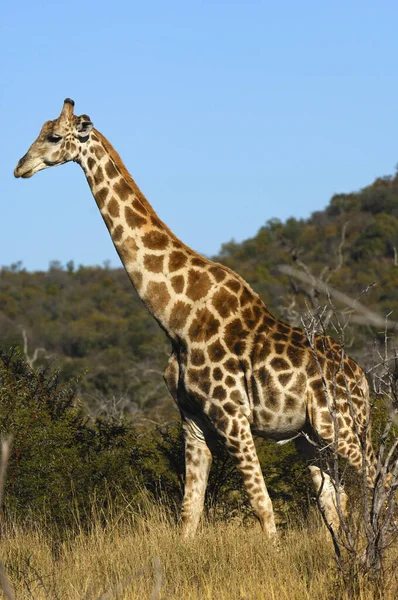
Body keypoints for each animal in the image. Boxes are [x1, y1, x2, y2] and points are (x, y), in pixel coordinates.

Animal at [14, 98, 378, 540]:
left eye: (53, 136)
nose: (19, 167)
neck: (177, 318)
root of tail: (361, 380)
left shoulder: (233, 416)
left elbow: (262, 505)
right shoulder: (192, 420)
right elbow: (189, 512)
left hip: (338, 424)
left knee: (377, 480)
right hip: (310, 436)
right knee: (334, 499)